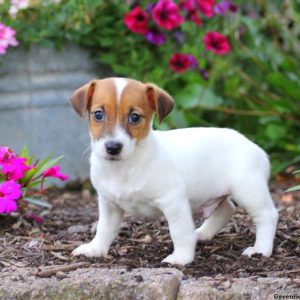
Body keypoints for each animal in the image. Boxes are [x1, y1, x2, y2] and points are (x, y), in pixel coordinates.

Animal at [70, 77, 278, 264]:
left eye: (134, 117)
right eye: (98, 114)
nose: (113, 147)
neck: (125, 167)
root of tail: (257, 149)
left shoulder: (173, 202)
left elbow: (179, 232)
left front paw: (181, 258)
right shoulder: (109, 204)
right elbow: (104, 229)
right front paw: (95, 249)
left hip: (248, 191)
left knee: (267, 215)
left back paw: (260, 249)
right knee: (227, 209)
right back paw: (202, 233)